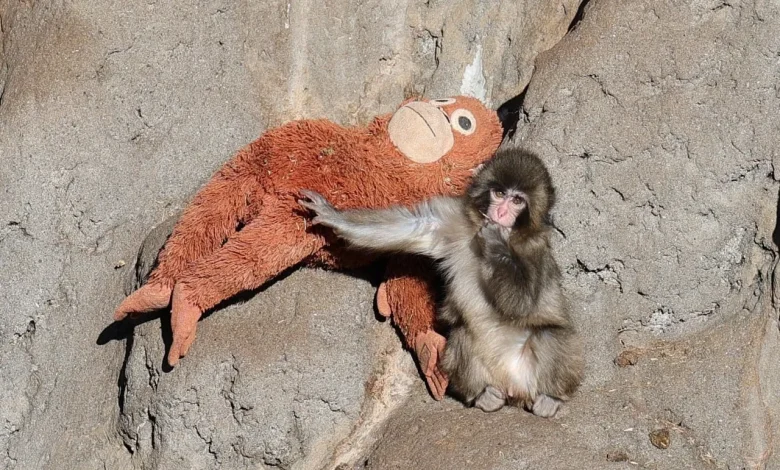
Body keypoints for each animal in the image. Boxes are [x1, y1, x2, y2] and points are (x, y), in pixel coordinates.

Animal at [298, 148, 583, 417]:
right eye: (499, 193)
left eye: (517, 200)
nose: (501, 212)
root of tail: (514, 388)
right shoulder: (453, 219)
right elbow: (416, 226)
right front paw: (331, 214)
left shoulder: (536, 249)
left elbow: (523, 304)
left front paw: (496, 240)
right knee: (461, 333)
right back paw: (483, 396)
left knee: (548, 333)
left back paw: (550, 399)